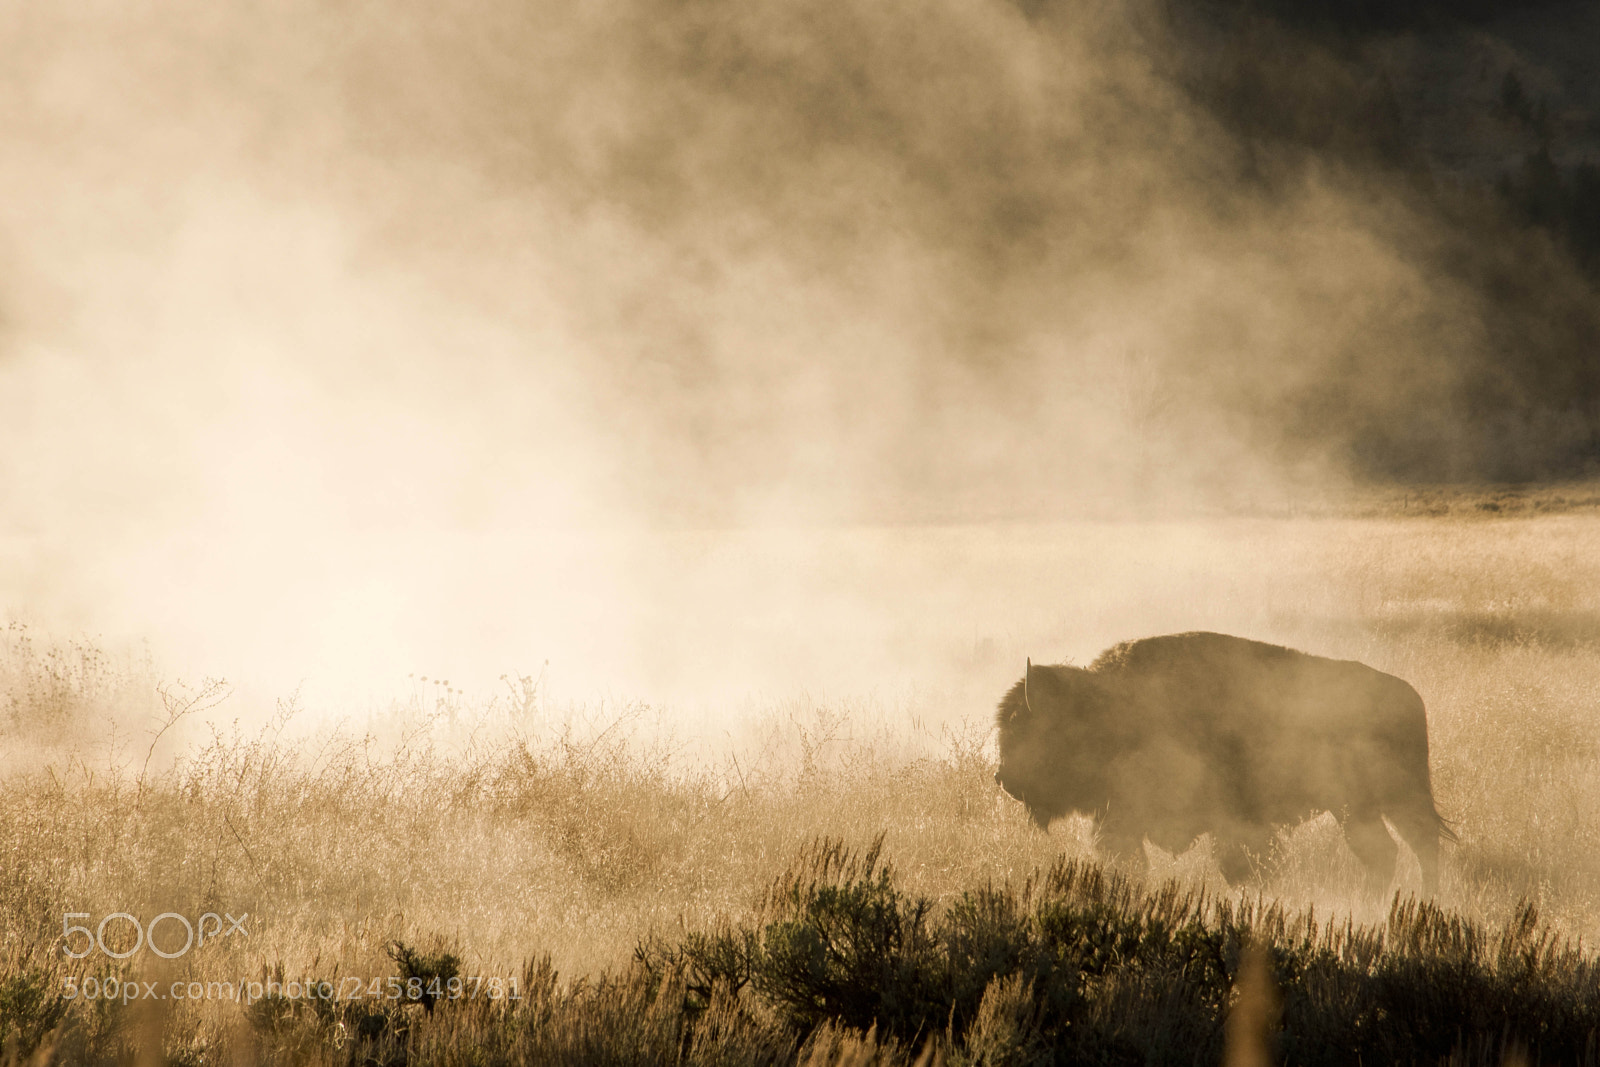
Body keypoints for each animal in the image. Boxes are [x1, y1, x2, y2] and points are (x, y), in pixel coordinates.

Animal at [994, 632, 1451, 892]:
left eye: (1023, 727)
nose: (1002, 777)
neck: (1105, 707)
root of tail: (1410, 695)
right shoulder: (1121, 818)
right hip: (1367, 807)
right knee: (1398, 850)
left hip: (1381, 802)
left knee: (1411, 849)